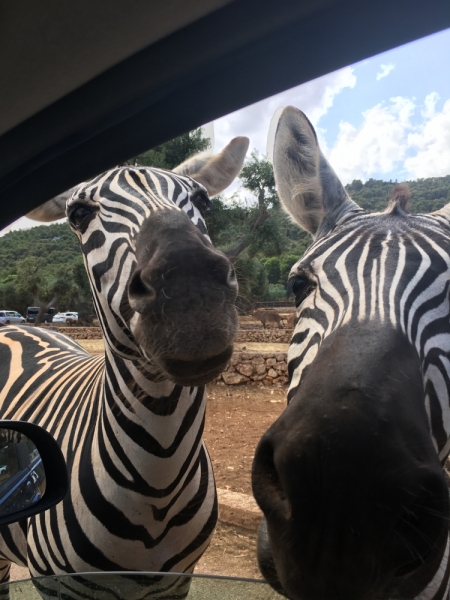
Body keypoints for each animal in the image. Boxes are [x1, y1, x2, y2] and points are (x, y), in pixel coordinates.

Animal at [0, 137, 248, 600]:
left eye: (202, 200)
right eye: (79, 214)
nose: (191, 295)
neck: (159, 485)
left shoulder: (177, 582)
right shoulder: (58, 586)